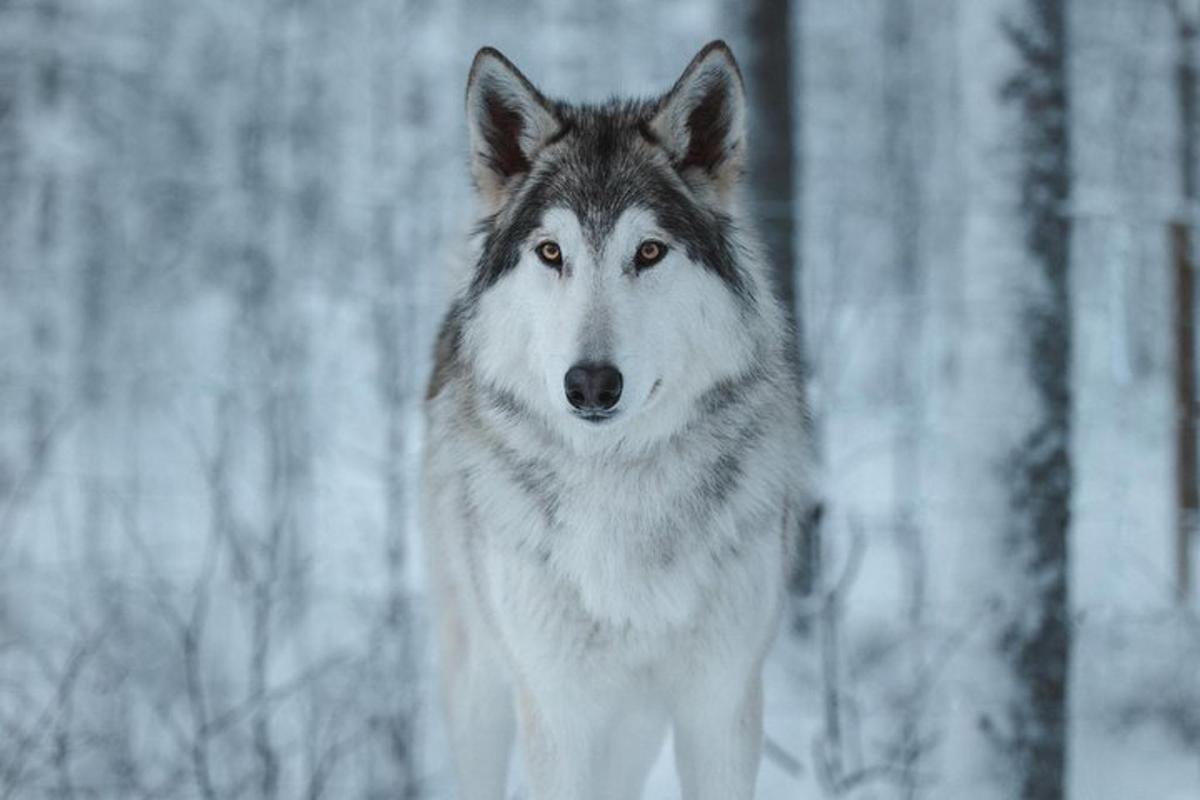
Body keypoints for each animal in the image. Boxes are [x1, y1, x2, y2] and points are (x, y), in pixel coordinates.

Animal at [420, 40, 806, 800]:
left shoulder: (721, 708)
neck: (619, 487)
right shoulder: (559, 713)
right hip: (479, 687)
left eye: (649, 251)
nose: (591, 384)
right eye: (551, 253)